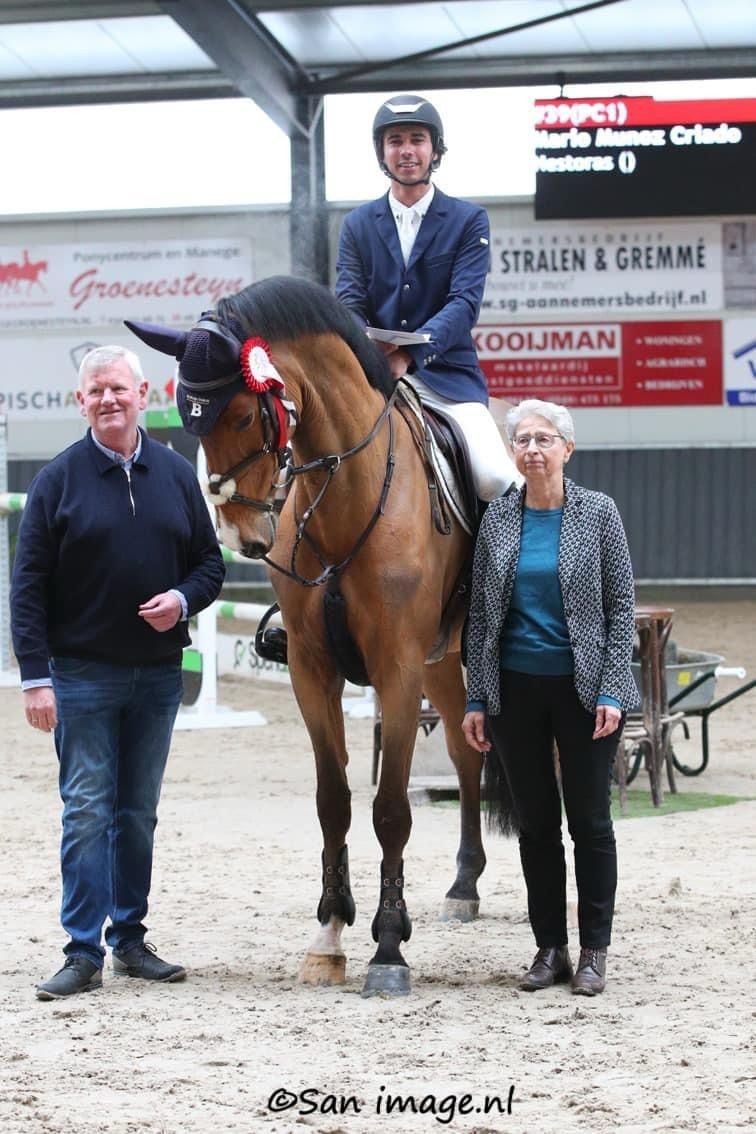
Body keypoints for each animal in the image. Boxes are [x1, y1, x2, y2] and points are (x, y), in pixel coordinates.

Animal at [129, 278, 487, 997]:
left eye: (245, 416)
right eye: (190, 420)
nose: (240, 536)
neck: (351, 496)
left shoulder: (397, 669)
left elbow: (390, 808)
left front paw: (388, 946)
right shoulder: (311, 670)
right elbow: (333, 800)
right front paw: (329, 933)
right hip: (442, 663)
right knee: (466, 756)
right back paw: (463, 885)